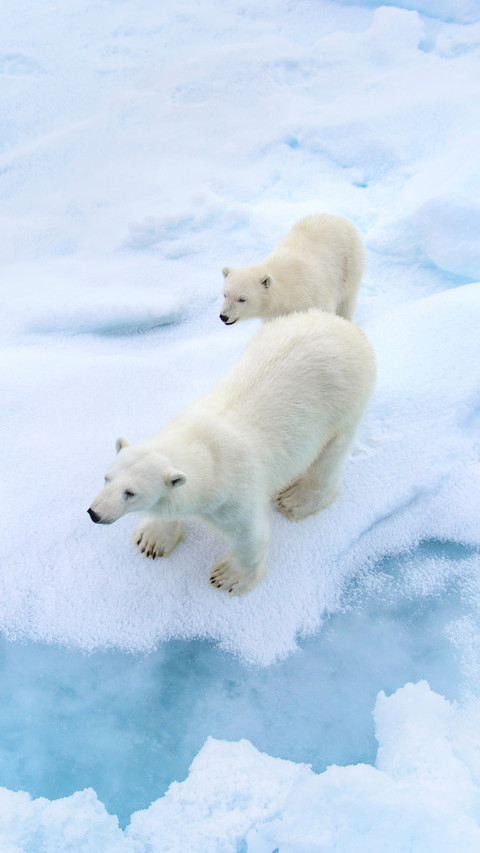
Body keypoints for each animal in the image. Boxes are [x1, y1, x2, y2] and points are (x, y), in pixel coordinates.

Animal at [88, 309, 376, 595]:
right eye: (107, 478)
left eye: (130, 493)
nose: (94, 513)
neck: (203, 443)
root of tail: (340, 324)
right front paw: (151, 540)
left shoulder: (234, 493)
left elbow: (249, 536)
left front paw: (228, 577)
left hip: (345, 401)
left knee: (330, 456)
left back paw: (296, 499)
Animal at [220, 213, 365, 326]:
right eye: (225, 294)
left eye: (242, 299)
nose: (223, 316)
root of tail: (339, 218)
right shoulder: (273, 315)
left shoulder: (313, 296)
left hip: (349, 265)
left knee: (347, 301)